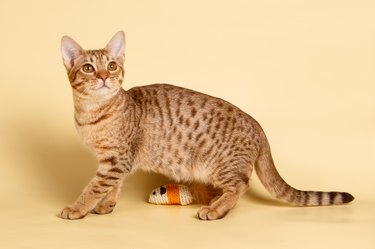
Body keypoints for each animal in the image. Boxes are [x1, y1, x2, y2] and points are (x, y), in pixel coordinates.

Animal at [58, 31, 356, 220]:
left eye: (111, 65)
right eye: (88, 68)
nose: (104, 77)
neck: (92, 112)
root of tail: (258, 126)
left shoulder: (116, 161)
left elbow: (94, 187)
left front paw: (77, 208)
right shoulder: (115, 162)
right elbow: (111, 187)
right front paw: (106, 205)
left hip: (218, 165)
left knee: (241, 185)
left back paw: (216, 209)